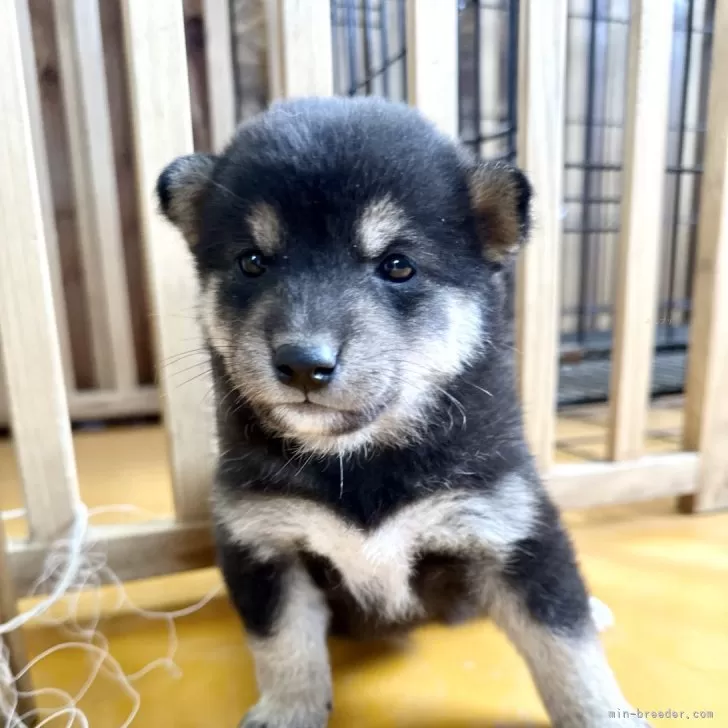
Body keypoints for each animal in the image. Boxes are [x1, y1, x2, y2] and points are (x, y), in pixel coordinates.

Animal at [156, 96, 644, 728]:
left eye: (396, 265)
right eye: (253, 262)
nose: (303, 364)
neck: (357, 463)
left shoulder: (510, 531)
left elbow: (567, 649)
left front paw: (600, 709)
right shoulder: (265, 544)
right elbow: (285, 648)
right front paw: (288, 711)